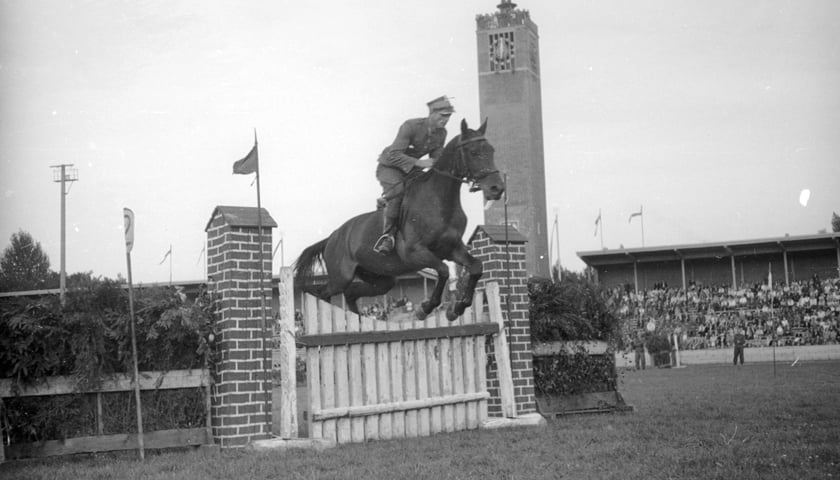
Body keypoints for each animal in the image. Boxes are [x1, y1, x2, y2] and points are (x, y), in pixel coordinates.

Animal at [296, 119, 506, 322]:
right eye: (473, 152)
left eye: (492, 150)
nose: (497, 188)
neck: (440, 201)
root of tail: (332, 236)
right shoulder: (415, 252)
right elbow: (444, 270)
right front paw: (425, 309)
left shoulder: (452, 249)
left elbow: (476, 267)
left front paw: (457, 308)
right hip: (341, 276)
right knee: (323, 294)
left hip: (380, 278)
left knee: (352, 293)